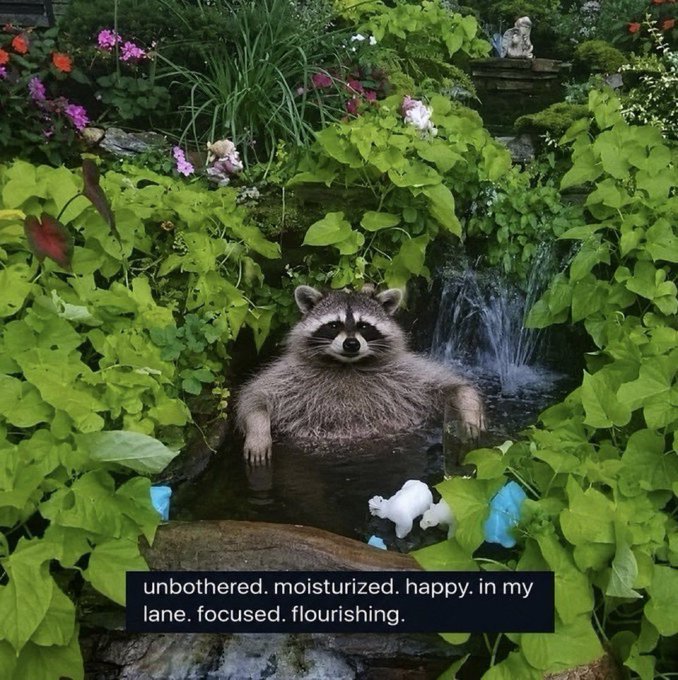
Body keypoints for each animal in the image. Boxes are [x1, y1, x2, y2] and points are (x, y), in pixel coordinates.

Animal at [236, 285, 485, 464]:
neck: (348, 366)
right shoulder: (290, 375)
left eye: (364, 326)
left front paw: (469, 406)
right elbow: (254, 398)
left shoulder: (405, 374)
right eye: (334, 325)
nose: (351, 344)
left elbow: (449, 386)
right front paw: (258, 429)